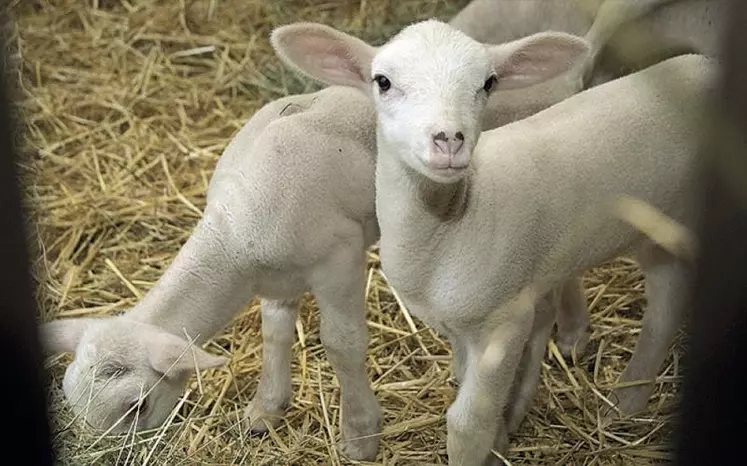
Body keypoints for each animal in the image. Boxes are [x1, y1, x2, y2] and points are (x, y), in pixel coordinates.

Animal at [272, 16, 716, 464]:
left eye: (488, 83)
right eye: (383, 81)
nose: (448, 138)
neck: (450, 227)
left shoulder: (505, 322)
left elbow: (467, 425)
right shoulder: (459, 325)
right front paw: (502, 438)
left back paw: (624, 403)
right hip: (657, 235)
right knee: (667, 297)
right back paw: (626, 399)